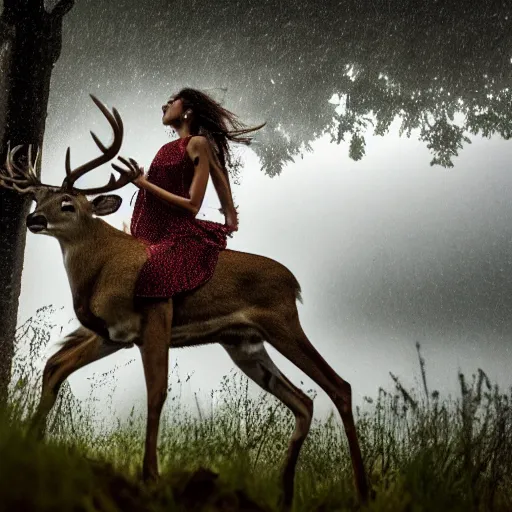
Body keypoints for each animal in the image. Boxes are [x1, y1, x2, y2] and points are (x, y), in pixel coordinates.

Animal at [0, 95, 368, 508]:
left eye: (68, 204)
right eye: (38, 198)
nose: (33, 221)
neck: (103, 270)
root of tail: (294, 283)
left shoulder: (155, 317)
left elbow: (156, 392)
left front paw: (150, 477)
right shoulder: (112, 333)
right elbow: (56, 366)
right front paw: (29, 442)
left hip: (282, 323)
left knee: (338, 387)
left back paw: (362, 492)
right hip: (244, 343)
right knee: (304, 401)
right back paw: (284, 494)